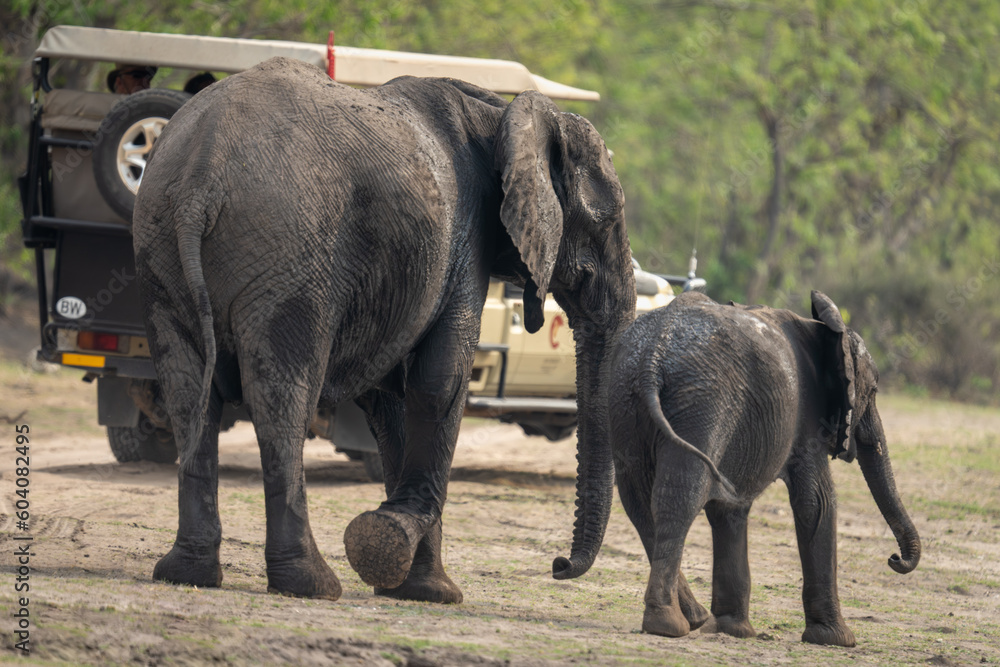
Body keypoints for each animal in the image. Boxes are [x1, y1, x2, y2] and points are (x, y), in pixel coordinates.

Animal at [131, 56, 636, 603]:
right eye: (609, 220)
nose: (559, 564)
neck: (503, 115)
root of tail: (200, 173)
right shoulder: (466, 239)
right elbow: (440, 381)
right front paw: (398, 548)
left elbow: (391, 397)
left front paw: (417, 587)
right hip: (290, 251)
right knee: (282, 398)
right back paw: (311, 584)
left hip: (160, 245)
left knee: (187, 394)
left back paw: (187, 572)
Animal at [607, 290, 920, 647]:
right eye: (875, 391)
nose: (895, 558)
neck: (823, 329)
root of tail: (652, 357)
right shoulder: (806, 419)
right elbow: (817, 502)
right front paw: (837, 640)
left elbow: (730, 509)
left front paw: (734, 630)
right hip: (702, 404)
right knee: (681, 496)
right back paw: (668, 625)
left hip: (627, 399)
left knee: (639, 502)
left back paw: (685, 619)